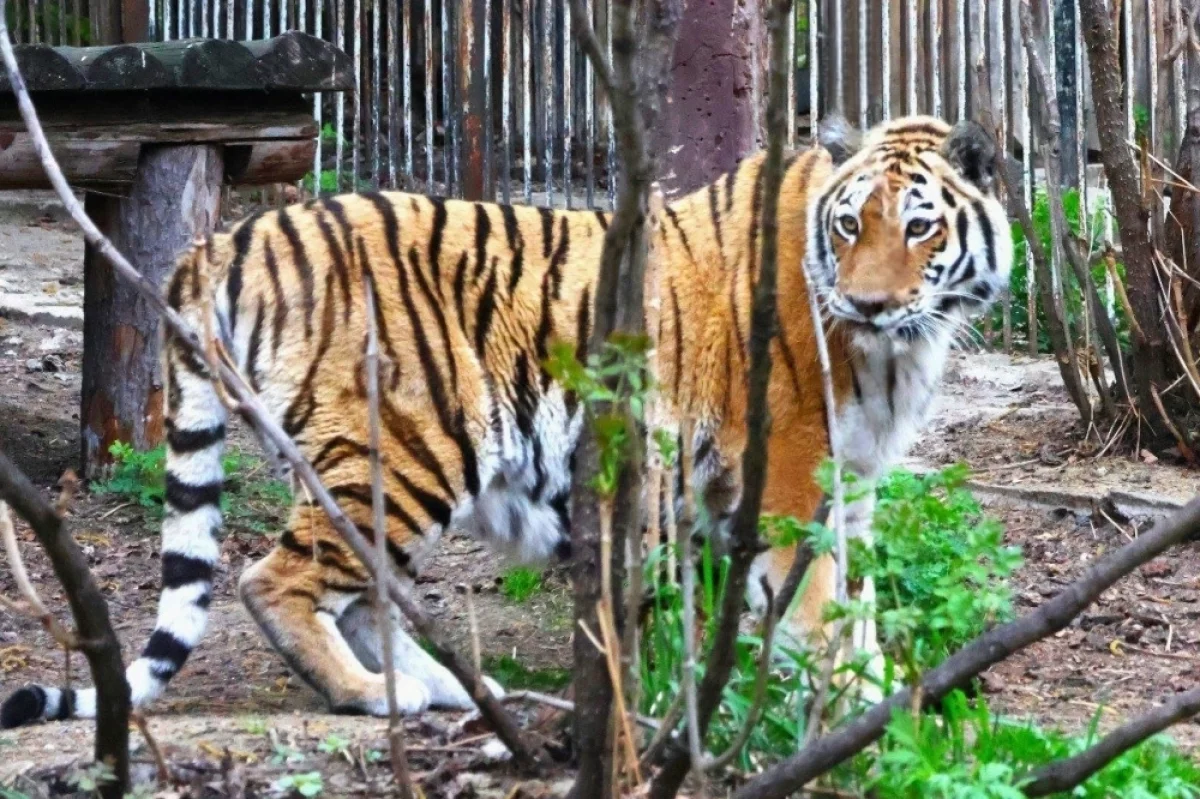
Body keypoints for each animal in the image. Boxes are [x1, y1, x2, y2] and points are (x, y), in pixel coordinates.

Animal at [0, 115, 1012, 724]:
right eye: (850, 225)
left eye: (918, 227)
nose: (869, 304)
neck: (898, 351)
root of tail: (229, 235)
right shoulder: (793, 476)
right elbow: (813, 605)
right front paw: (853, 699)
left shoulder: (851, 480)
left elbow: (860, 599)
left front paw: (883, 688)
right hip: (408, 446)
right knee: (274, 579)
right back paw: (380, 695)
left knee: (359, 590)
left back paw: (451, 683)